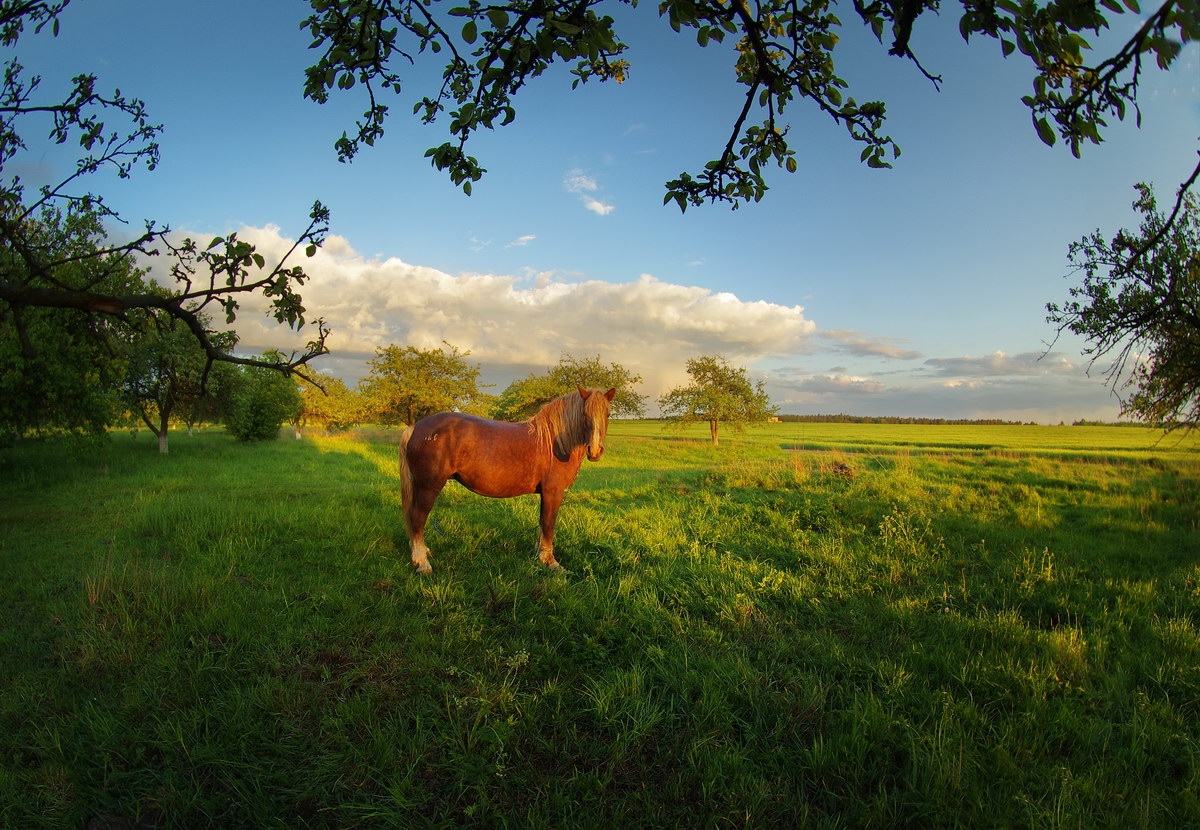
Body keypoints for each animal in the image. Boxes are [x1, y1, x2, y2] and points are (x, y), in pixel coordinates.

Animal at [400, 388, 614, 573]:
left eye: (608, 414)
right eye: (584, 413)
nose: (595, 451)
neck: (554, 442)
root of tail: (416, 427)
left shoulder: (546, 494)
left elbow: (541, 522)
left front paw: (539, 554)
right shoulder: (553, 492)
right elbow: (548, 523)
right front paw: (550, 562)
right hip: (429, 487)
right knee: (417, 517)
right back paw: (422, 563)